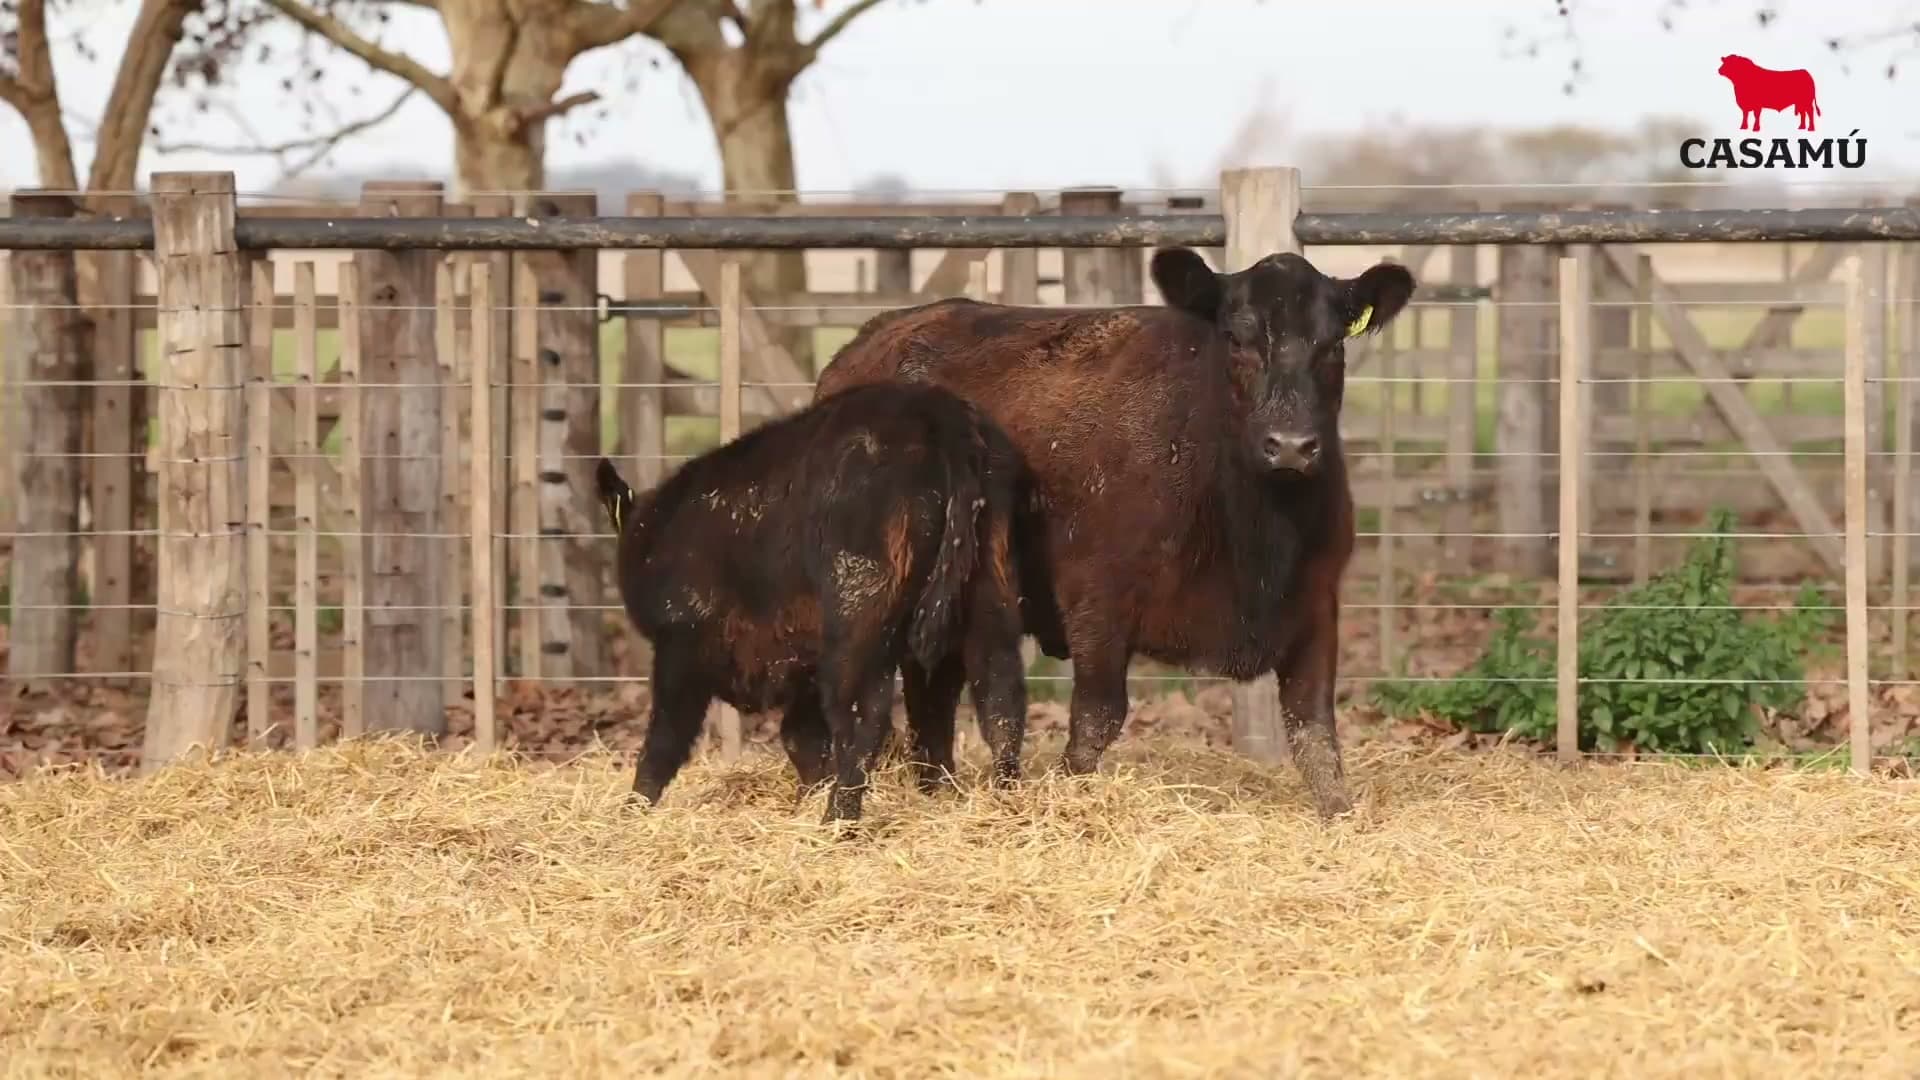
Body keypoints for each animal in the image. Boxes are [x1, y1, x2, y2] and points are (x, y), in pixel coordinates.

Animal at [593, 382, 1031, 825]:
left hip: (856, 620)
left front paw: (631, 809)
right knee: (1000, 695)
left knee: (863, 717)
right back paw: (1006, 799)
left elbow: (665, 738)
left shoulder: (681, 643)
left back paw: (837, 820)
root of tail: (938, 416)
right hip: (989, 597)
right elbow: (800, 735)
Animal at [812, 247, 1415, 819]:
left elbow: (1314, 733)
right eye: (1236, 338)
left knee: (930, 693)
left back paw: (938, 789)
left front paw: (1341, 815)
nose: (1289, 445)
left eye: (1332, 344)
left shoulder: (1316, 605)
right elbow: (1096, 720)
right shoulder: (1095, 600)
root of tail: (869, 341)